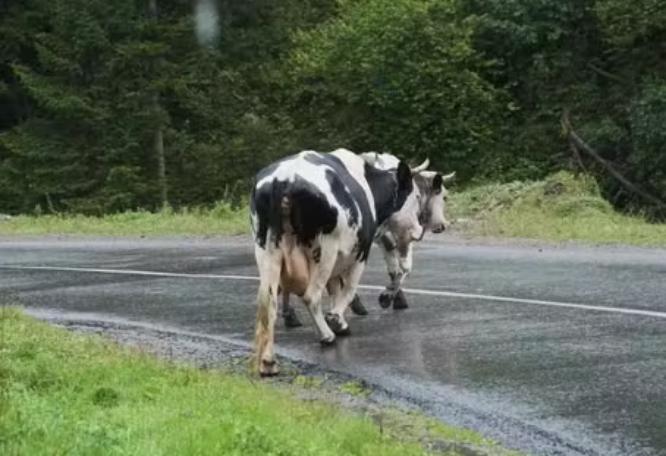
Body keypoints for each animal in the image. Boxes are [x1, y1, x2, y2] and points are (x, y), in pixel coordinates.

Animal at [249, 148, 420, 376]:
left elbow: (334, 289)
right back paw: (326, 336)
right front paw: (338, 322)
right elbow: (347, 290)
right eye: (416, 196)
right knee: (311, 295)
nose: (419, 230)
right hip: (325, 251)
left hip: (266, 250)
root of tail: (283, 179)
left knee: (268, 301)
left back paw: (268, 362)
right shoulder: (360, 252)